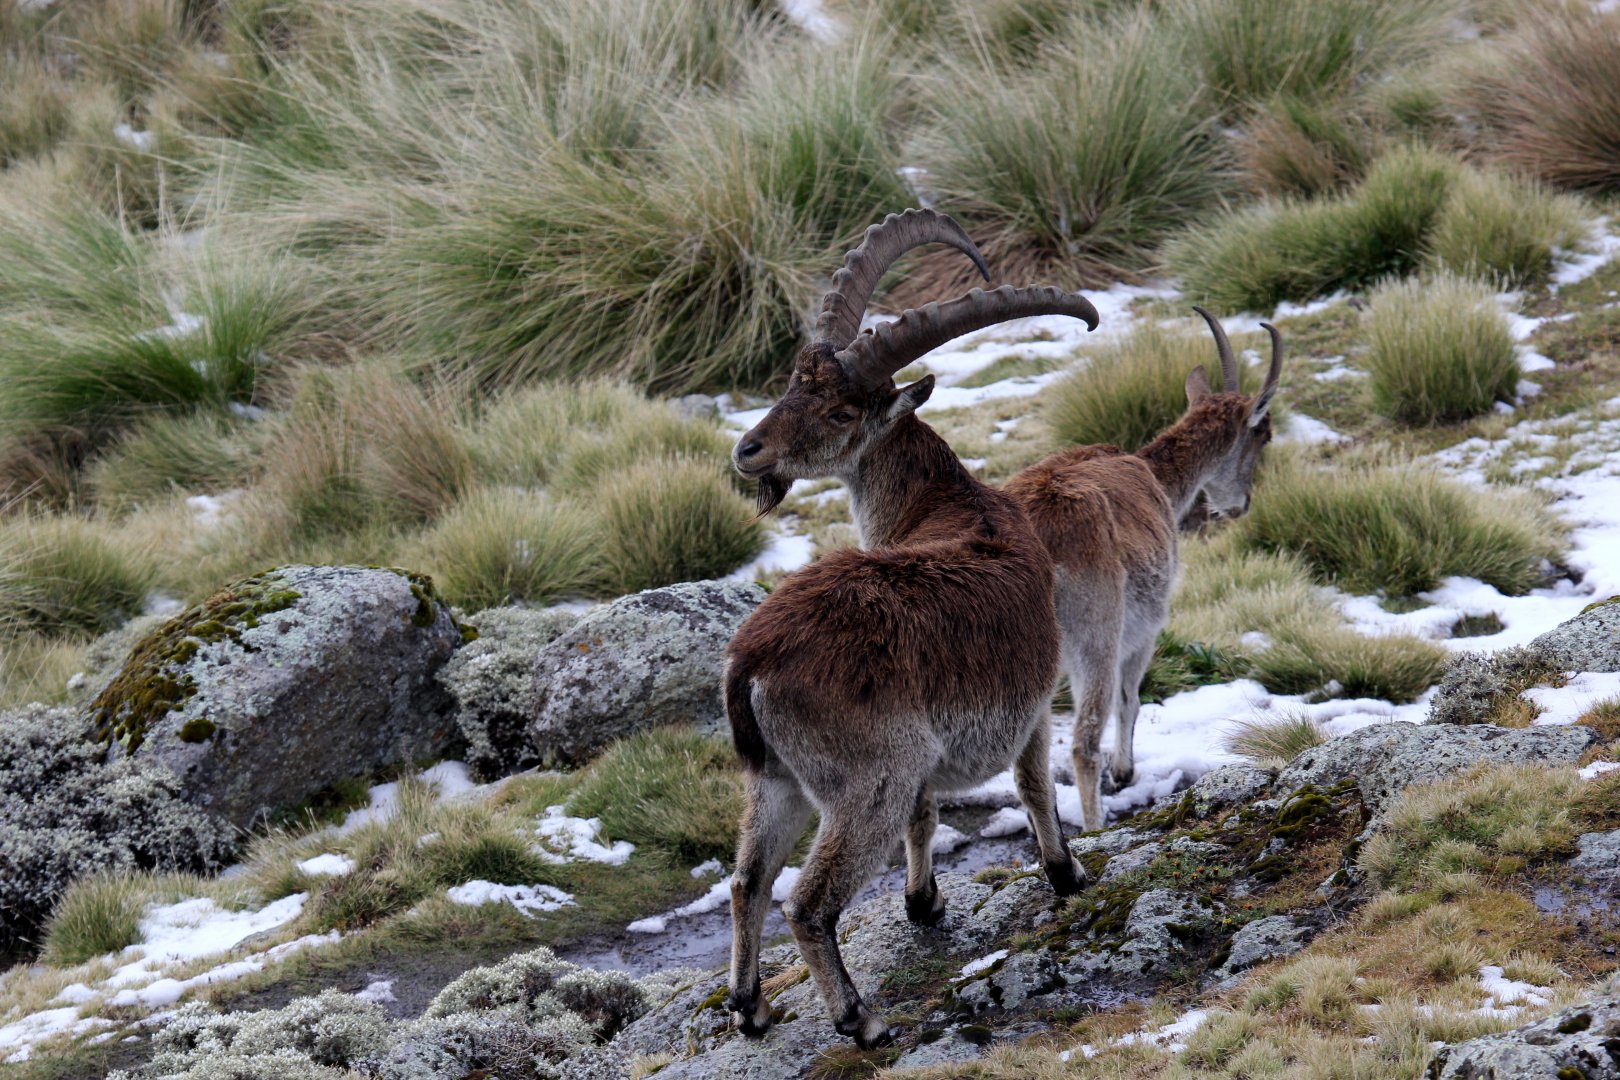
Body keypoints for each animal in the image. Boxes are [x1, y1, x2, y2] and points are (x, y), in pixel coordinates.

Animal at [724, 209, 1100, 1048]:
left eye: (836, 407)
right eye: (792, 384)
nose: (747, 450)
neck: (952, 501)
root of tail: (751, 662)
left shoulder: (926, 757)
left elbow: (929, 815)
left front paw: (924, 903)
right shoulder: (1032, 699)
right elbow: (1032, 782)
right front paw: (1066, 873)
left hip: (777, 778)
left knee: (748, 879)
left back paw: (752, 1007)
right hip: (865, 782)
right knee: (807, 901)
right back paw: (857, 1019)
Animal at [1004, 309, 1284, 830]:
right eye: (1263, 433)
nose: (1241, 505)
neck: (1156, 477)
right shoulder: (1147, 624)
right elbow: (1130, 696)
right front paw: (1125, 770)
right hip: (1093, 632)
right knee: (1084, 738)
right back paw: (1093, 828)